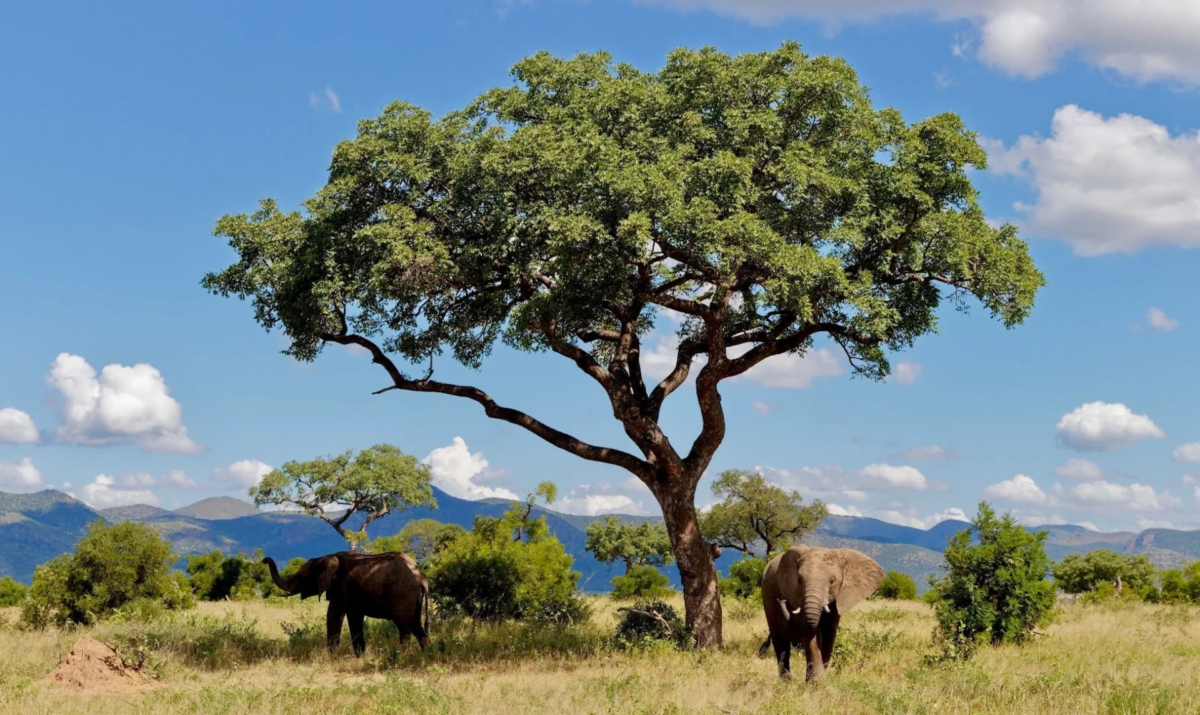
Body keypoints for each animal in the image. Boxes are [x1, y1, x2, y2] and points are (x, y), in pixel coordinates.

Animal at [264, 551, 431, 656]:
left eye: (304, 577)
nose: (264, 560)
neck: (327, 557)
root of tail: (422, 580)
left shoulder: (341, 587)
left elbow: (334, 614)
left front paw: (330, 657)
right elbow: (354, 618)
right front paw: (359, 656)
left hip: (402, 595)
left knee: (404, 627)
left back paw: (402, 655)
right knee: (416, 625)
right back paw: (425, 654)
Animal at [758, 545, 884, 681]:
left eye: (832, 581)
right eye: (799, 580)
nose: (782, 600)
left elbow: (829, 633)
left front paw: (818, 680)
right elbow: (812, 634)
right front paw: (817, 682)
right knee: (780, 643)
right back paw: (786, 682)